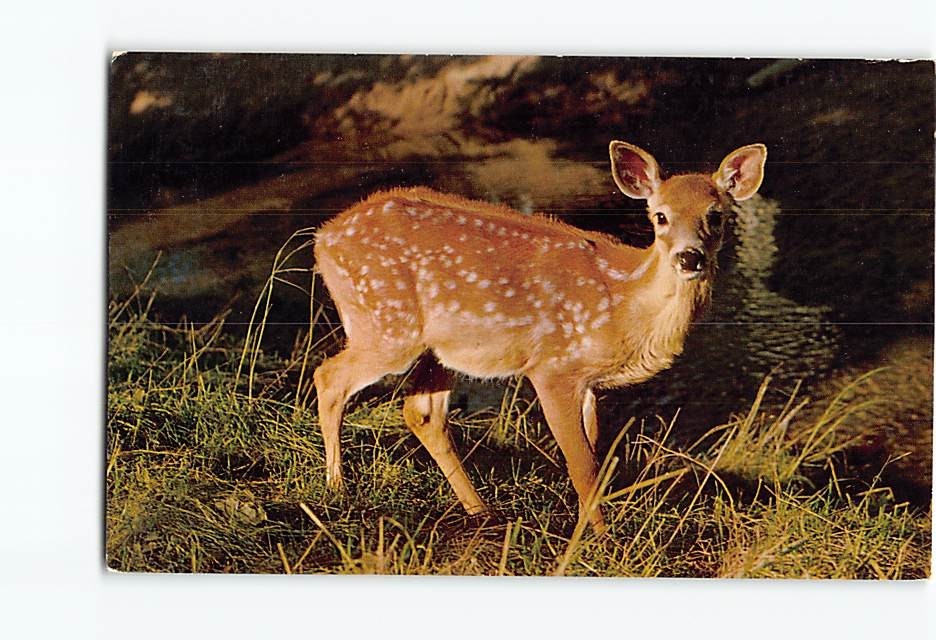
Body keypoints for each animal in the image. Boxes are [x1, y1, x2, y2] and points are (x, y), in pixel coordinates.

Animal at [312, 140, 767, 532]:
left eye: (716, 215)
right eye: (659, 216)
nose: (689, 258)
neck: (623, 301)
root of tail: (323, 238)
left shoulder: (587, 383)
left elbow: (593, 455)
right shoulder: (552, 366)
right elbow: (582, 466)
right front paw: (598, 540)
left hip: (436, 346)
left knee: (423, 412)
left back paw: (480, 510)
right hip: (385, 324)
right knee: (329, 377)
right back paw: (337, 487)